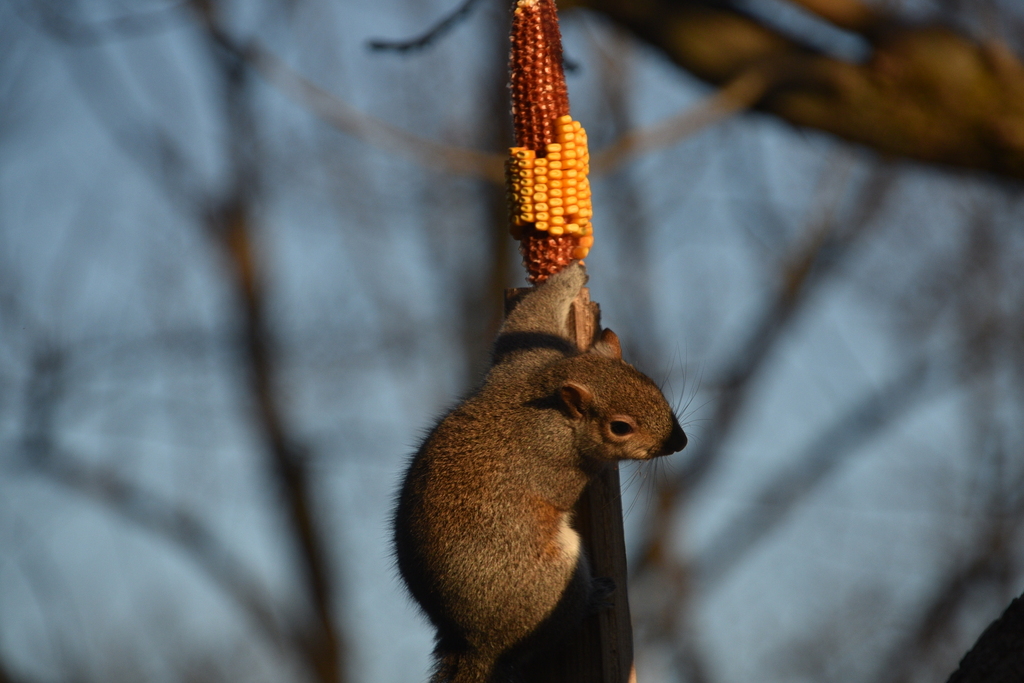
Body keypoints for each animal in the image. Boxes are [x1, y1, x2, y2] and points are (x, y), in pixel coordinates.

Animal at [393, 262, 687, 683]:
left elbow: (528, 318)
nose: (679, 442)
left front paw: (569, 277)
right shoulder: (551, 466)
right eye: (620, 427)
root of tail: (478, 644)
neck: (552, 411)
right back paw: (593, 598)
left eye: (653, 387)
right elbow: (569, 487)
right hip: (551, 582)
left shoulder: (525, 359)